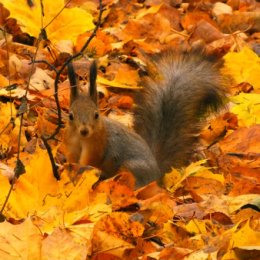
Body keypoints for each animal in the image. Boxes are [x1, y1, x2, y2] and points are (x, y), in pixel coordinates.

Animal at [64, 50, 228, 189]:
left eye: (96, 115)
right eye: (70, 115)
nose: (84, 130)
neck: (82, 139)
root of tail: (156, 175)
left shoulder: (97, 147)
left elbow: (88, 163)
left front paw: (79, 171)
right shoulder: (71, 145)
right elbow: (72, 160)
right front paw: (68, 170)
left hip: (131, 168)